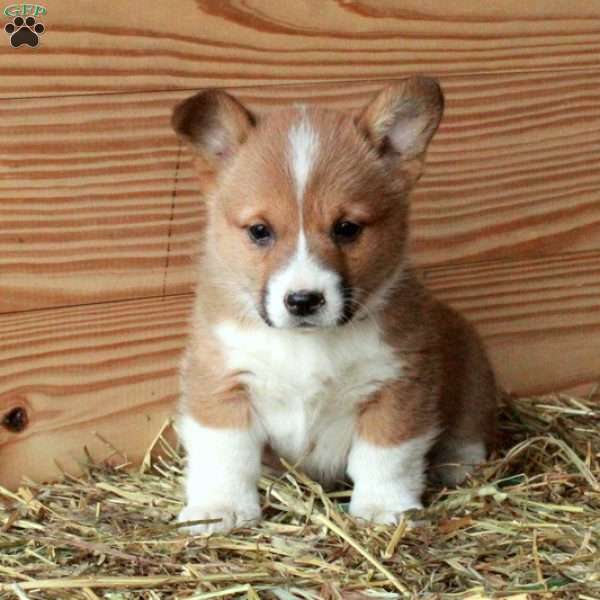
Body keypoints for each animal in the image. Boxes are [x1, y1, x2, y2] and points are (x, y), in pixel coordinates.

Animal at [172, 76, 496, 536]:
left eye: (347, 228)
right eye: (259, 230)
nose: (303, 300)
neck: (307, 344)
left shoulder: (397, 387)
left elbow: (386, 456)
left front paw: (383, 508)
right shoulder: (221, 382)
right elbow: (226, 455)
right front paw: (221, 508)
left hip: (472, 372)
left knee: (466, 430)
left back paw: (458, 465)